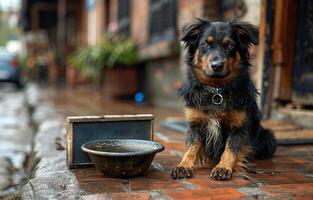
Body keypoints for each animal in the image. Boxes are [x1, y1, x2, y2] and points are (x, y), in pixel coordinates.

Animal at [171, 19, 276, 181]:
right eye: (205, 44)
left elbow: (231, 149)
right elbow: (191, 147)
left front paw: (223, 167)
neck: (217, 90)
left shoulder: (239, 127)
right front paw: (183, 165)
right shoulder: (195, 124)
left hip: (268, 138)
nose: (217, 65)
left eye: (230, 45)